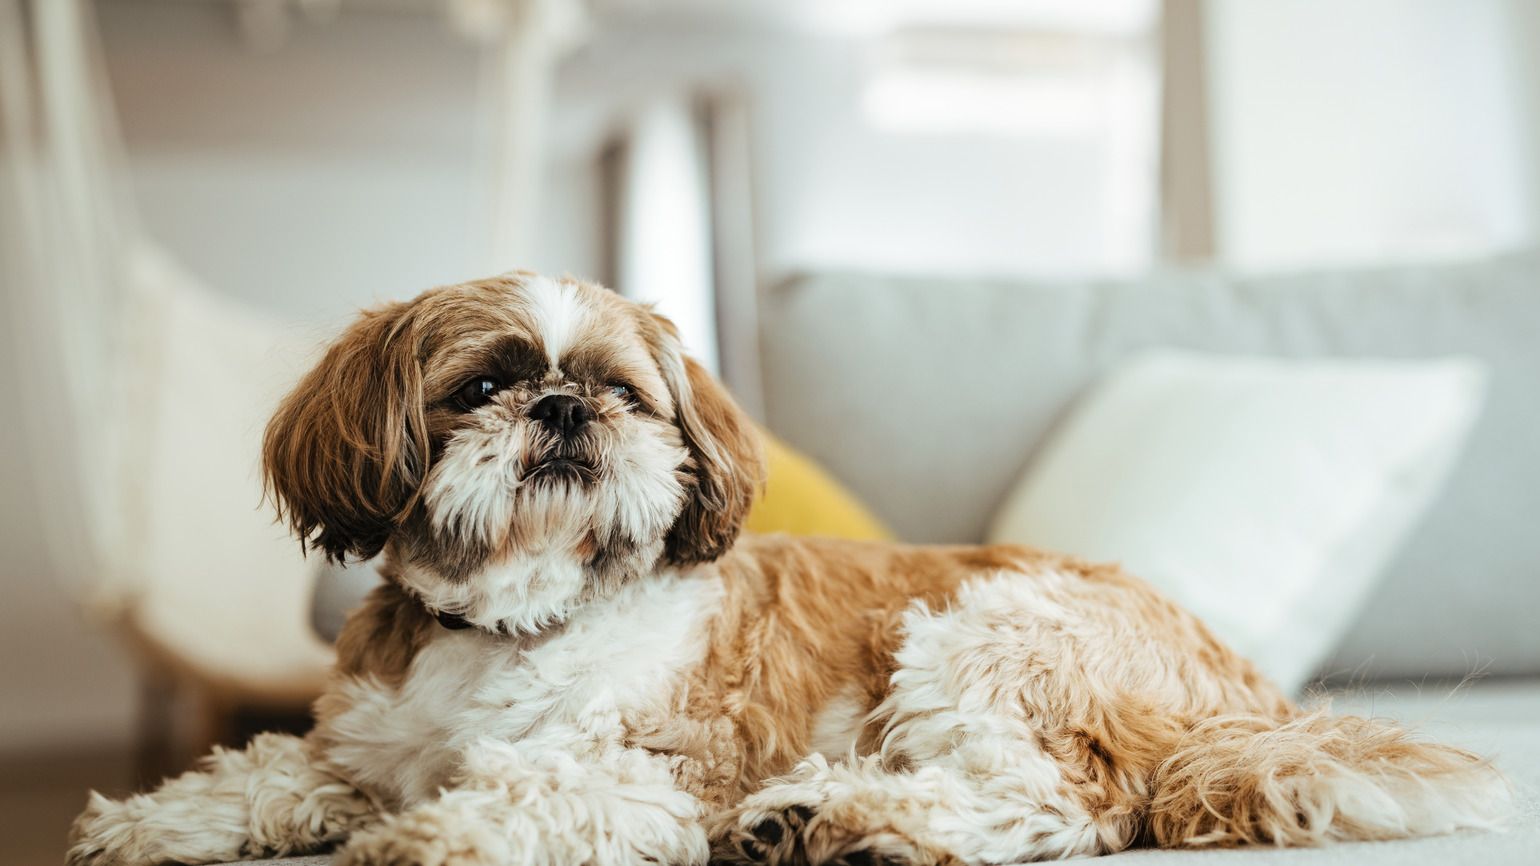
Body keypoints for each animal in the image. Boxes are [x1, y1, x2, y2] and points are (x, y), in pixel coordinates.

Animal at [69, 271, 1503, 862]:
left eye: (623, 391)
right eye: (480, 385)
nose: (562, 408)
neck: (522, 620)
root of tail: (1246, 697)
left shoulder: (663, 762)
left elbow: (535, 787)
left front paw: (434, 834)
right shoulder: (362, 742)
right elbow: (270, 770)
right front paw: (151, 821)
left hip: (990, 629)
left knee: (1063, 802)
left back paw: (856, 816)